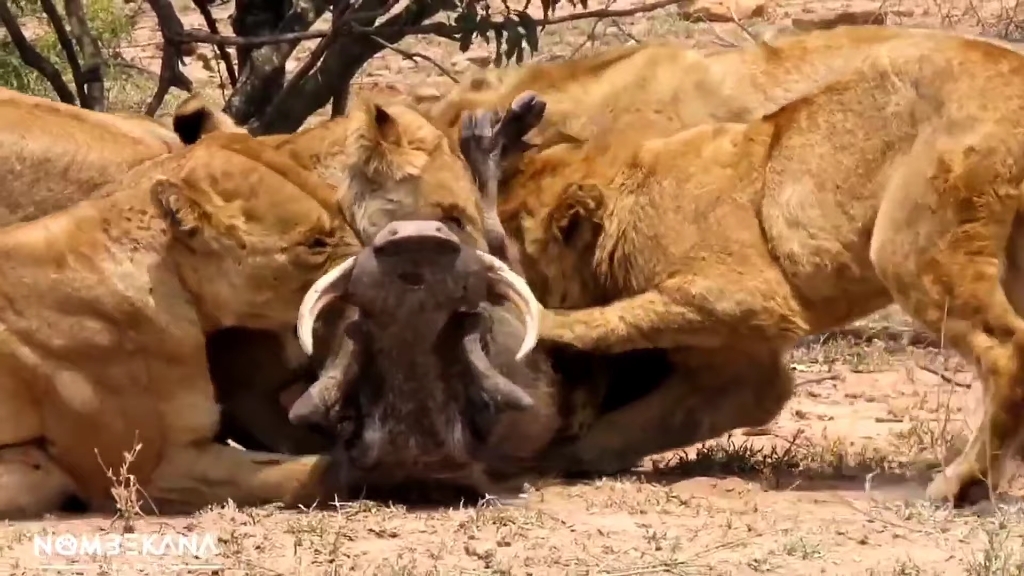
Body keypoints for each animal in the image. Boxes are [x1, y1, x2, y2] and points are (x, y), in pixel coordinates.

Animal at [487, 25, 1024, 506]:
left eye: (505, 235)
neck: (623, 184)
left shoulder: (745, 298)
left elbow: (616, 320)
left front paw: (538, 320)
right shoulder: (733, 365)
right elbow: (643, 420)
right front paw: (561, 455)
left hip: (907, 245)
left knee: (1006, 348)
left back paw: (961, 483)